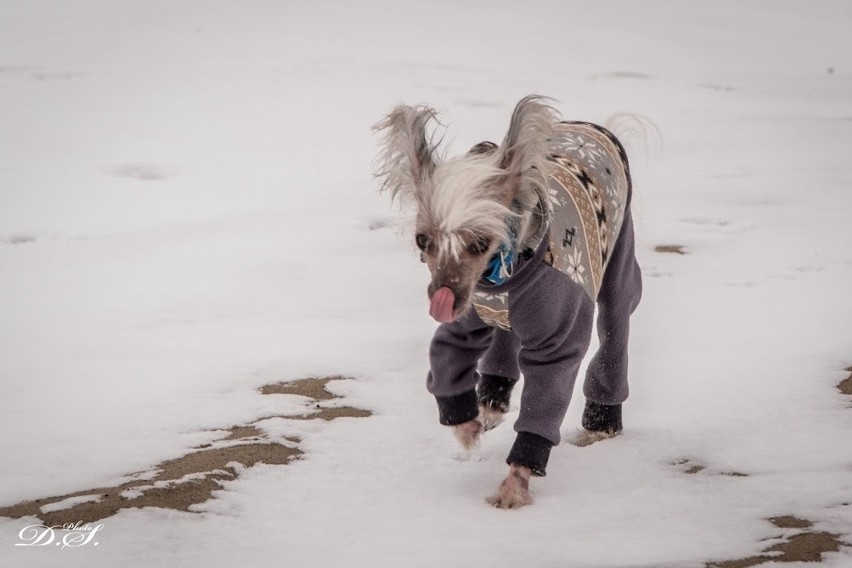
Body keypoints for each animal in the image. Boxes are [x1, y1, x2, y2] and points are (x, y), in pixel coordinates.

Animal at [372, 95, 640, 508]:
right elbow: (446, 362)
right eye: (423, 240)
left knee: (616, 322)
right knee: (504, 338)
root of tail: (592, 126)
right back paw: (490, 402)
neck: (502, 278)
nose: (442, 300)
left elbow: (544, 399)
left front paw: (514, 486)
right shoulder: (465, 319)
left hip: (620, 253)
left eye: (480, 243)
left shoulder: (557, 343)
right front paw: (467, 427)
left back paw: (601, 424)